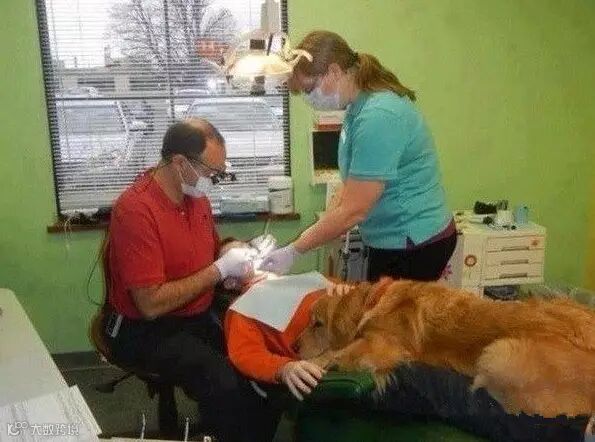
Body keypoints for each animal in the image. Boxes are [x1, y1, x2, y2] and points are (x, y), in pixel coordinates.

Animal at [296, 278, 595, 417]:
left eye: (317, 323)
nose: (294, 345)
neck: (373, 301)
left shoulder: (382, 346)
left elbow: (337, 352)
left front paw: (313, 363)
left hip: (497, 354)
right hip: (557, 300)